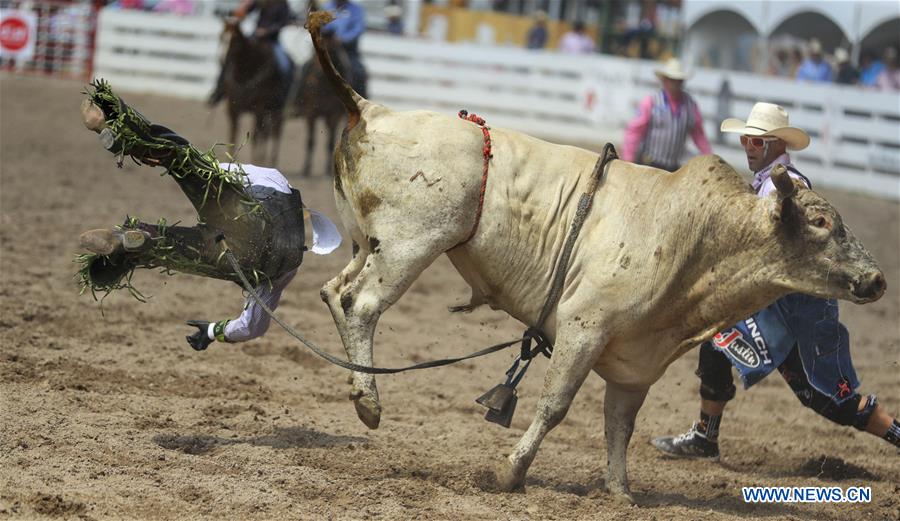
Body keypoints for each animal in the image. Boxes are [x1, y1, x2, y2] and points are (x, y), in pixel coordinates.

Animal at [214, 18, 292, 167]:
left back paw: (270, 161)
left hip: (277, 109)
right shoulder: (233, 107)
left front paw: (256, 161)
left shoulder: (259, 108)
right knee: (266, 133)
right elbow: (233, 134)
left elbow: (256, 136)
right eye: (220, 37)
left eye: (235, 40)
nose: (220, 60)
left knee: (275, 133)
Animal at [306, 11, 884, 500]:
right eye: (820, 223)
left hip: (369, 244)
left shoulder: (634, 365)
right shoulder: (583, 326)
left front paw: (620, 492)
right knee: (360, 304)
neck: (701, 238)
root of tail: (373, 108)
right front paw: (510, 472)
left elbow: (619, 428)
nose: (877, 279)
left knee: (334, 291)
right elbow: (555, 406)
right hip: (411, 244)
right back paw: (369, 402)